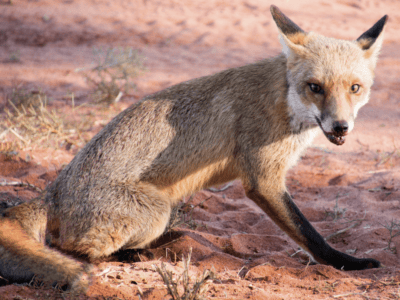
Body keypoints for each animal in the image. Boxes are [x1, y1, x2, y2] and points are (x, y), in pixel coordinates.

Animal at [0, 5, 388, 292]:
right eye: (315, 87)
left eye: (354, 88)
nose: (340, 127)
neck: (283, 97)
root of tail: (53, 191)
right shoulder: (262, 180)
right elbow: (310, 234)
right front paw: (347, 264)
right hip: (156, 209)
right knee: (71, 247)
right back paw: (131, 255)